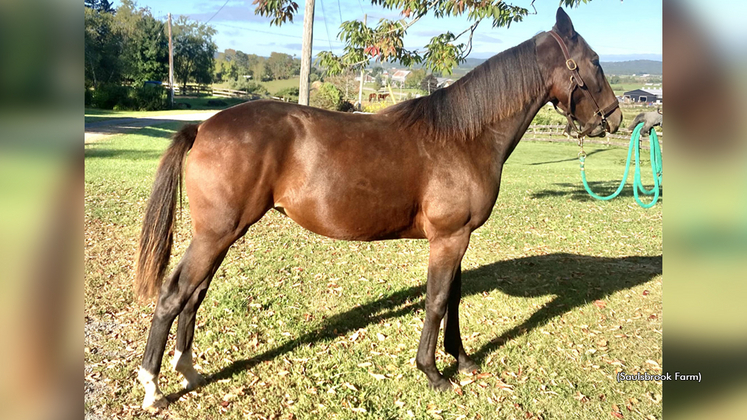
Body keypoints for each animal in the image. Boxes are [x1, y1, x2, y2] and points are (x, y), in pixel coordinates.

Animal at [133, 8, 620, 412]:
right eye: (594, 61)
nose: (613, 118)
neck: (464, 137)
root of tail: (202, 127)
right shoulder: (449, 237)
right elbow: (438, 299)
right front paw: (433, 372)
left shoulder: (458, 237)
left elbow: (454, 298)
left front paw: (462, 360)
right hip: (217, 233)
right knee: (174, 295)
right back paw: (153, 387)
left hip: (222, 234)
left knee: (194, 294)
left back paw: (188, 371)